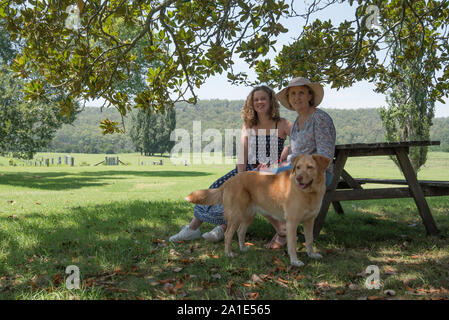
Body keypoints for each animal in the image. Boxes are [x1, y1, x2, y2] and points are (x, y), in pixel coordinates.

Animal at [186, 154, 328, 266]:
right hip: (236, 216)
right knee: (228, 235)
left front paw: (312, 255)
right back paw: (228, 253)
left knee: (240, 232)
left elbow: (309, 241)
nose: (299, 178)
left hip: (248, 216)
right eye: (298, 167)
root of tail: (229, 181)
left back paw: (243, 248)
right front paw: (294, 261)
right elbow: (292, 243)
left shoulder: (309, 221)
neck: (309, 193)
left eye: (310, 167)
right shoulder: (292, 222)